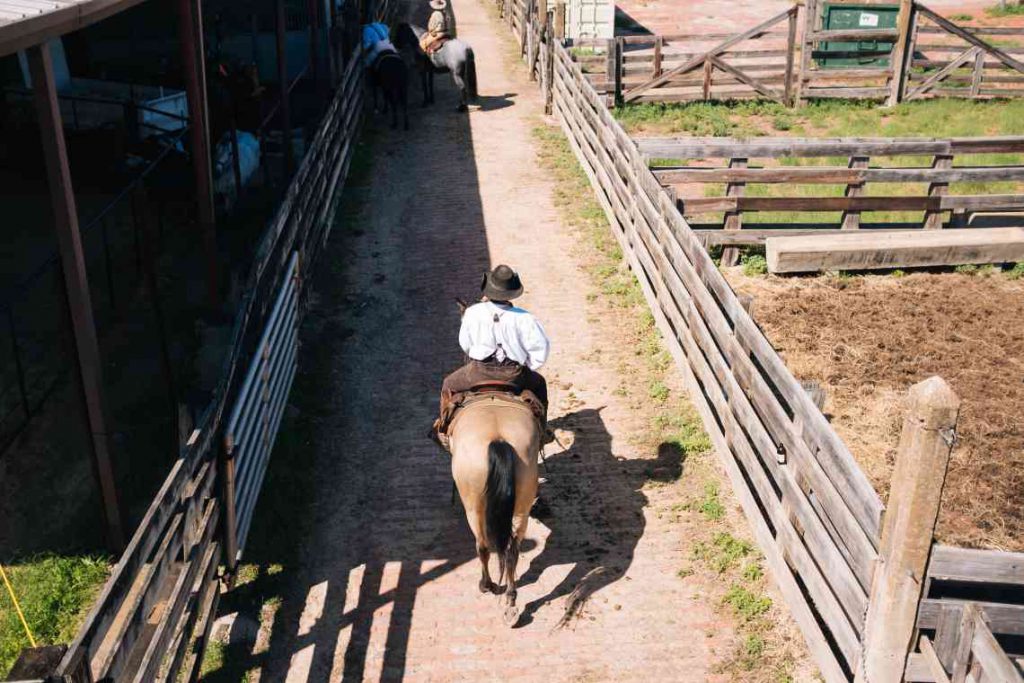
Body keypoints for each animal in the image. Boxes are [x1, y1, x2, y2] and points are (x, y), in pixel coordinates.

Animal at [450, 389, 544, 626]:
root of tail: (498, 439)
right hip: (522, 507)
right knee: (512, 551)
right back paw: (510, 600)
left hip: (474, 508)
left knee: (483, 546)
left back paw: (487, 585)